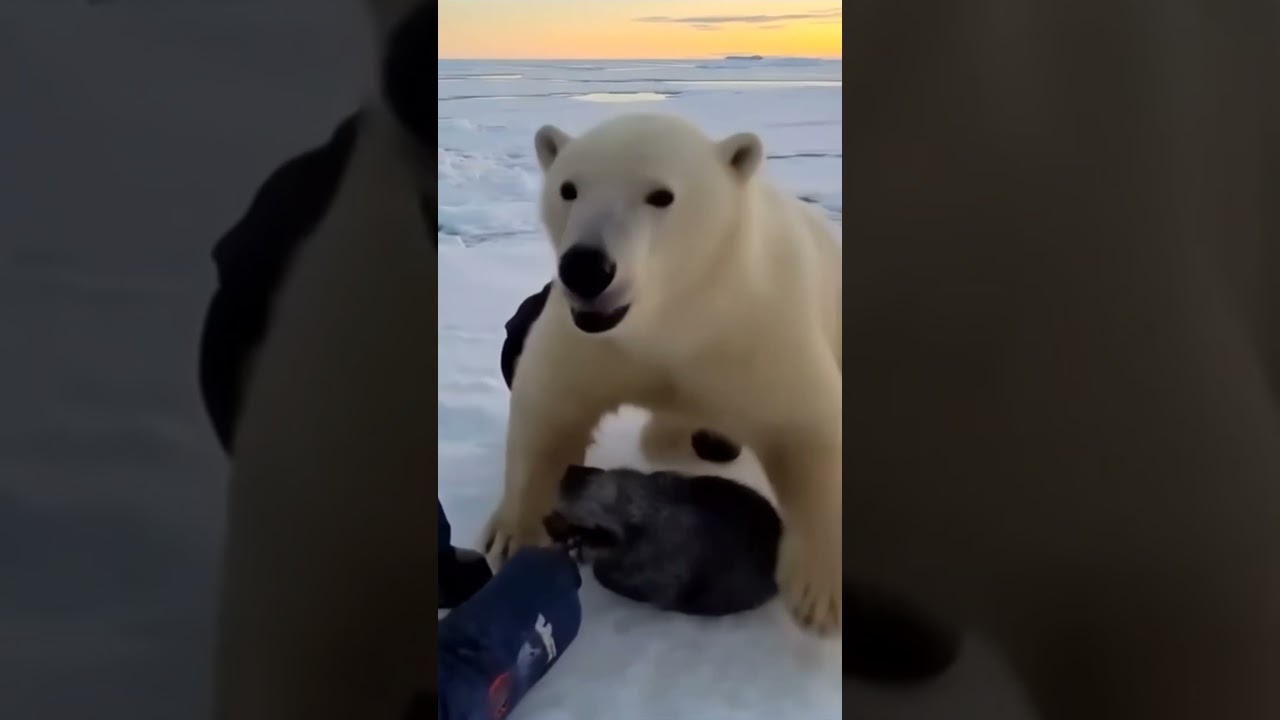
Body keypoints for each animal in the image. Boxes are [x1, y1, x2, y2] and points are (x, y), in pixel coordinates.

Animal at [479, 113, 844, 634]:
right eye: (568, 189)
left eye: (661, 195)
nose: (586, 266)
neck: (672, 317)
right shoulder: (590, 339)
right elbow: (548, 407)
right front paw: (512, 537)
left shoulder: (758, 323)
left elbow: (808, 426)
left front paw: (819, 594)